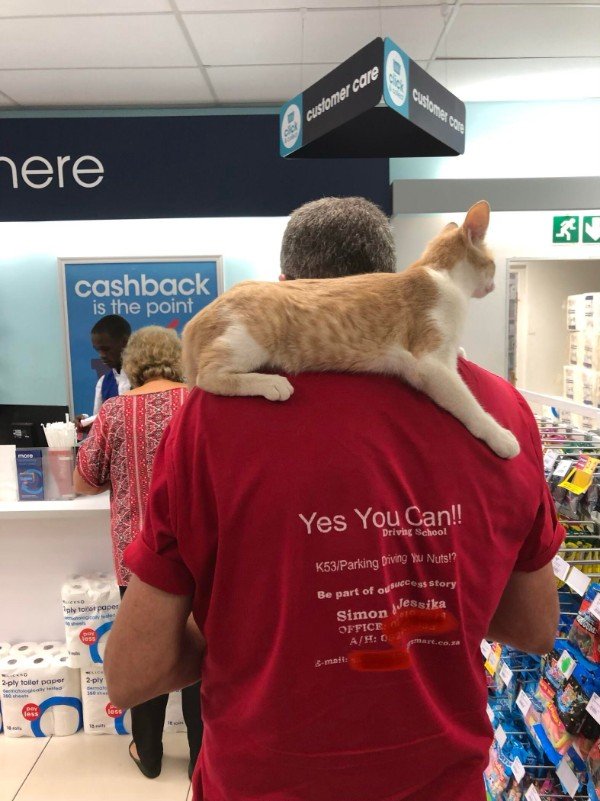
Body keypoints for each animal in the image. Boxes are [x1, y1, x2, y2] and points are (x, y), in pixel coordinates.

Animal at [183, 202, 520, 456]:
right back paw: (271, 383)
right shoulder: (429, 363)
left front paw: (463, 350)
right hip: (250, 336)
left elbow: (457, 356)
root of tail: (198, 317)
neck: (443, 278)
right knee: (208, 377)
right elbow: (467, 402)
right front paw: (500, 436)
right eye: (493, 264)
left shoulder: (442, 354)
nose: (492, 286)